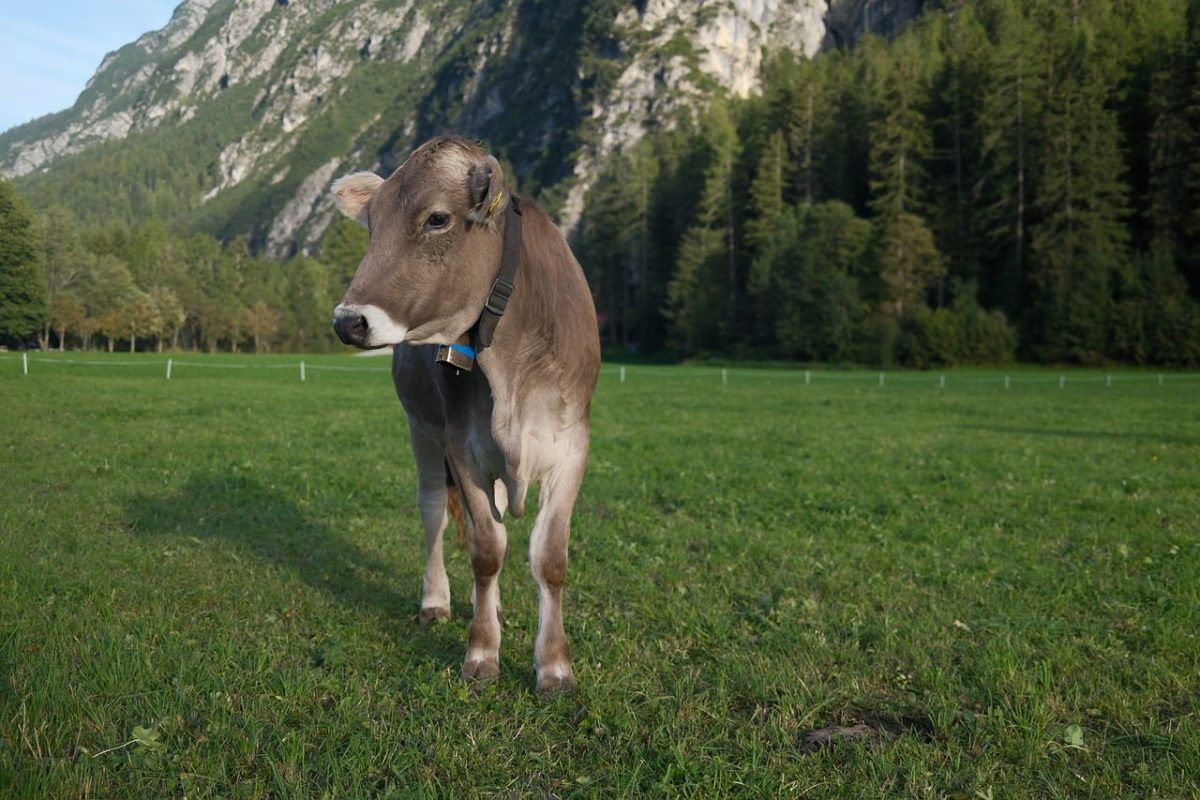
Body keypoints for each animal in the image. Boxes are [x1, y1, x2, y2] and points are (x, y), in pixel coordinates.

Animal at [329, 136, 600, 694]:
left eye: (437, 219)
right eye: (372, 223)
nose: (348, 322)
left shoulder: (571, 446)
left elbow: (550, 558)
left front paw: (554, 666)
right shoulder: (462, 446)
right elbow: (486, 551)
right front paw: (481, 653)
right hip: (422, 429)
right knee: (434, 509)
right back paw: (437, 601)